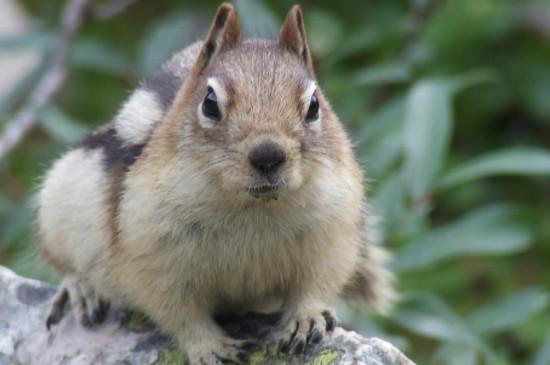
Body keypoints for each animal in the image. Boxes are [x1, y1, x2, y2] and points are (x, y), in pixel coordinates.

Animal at [37, 3, 396, 364]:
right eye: (209, 103)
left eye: (314, 105)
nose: (268, 155)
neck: (252, 209)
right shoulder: (150, 254)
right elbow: (178, 313)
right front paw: (209, 347)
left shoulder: (333, 235)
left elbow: (316, 284)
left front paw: (307, 318)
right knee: (63, 262)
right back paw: (80, 289)